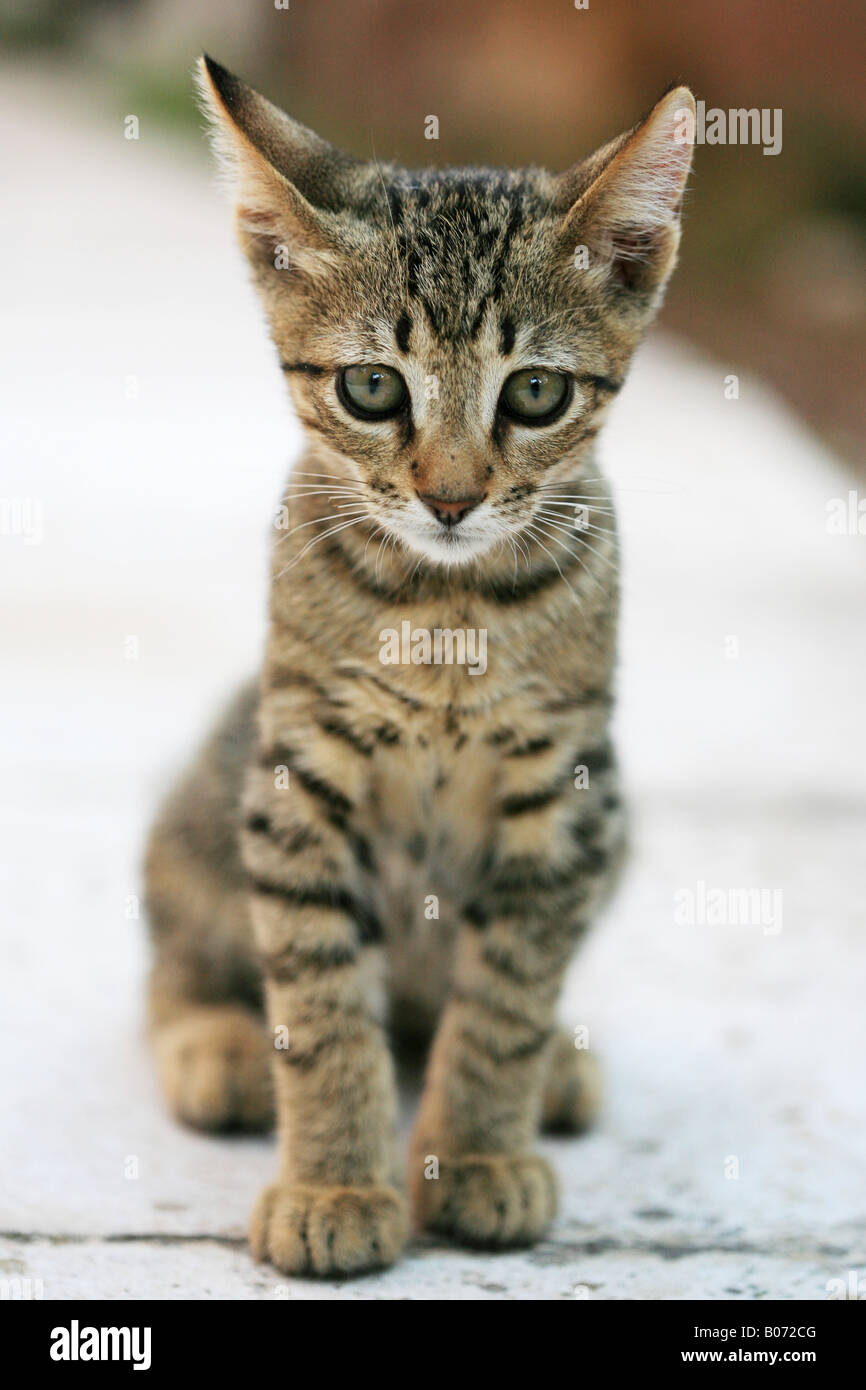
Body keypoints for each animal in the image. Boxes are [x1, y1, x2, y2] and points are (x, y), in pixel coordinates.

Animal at [143, 51, 697, 1273]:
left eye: (534, 391)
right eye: (371, 388)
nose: (450, 498)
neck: (448, 608)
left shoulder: (566, 784)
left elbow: (506, 996)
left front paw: (480, 1152)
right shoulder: (300, 772)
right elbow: (319, 1003)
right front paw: (335, 1185)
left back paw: (551, 1068)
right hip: (214, 788)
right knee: (177, 954)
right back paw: (218, 1045)